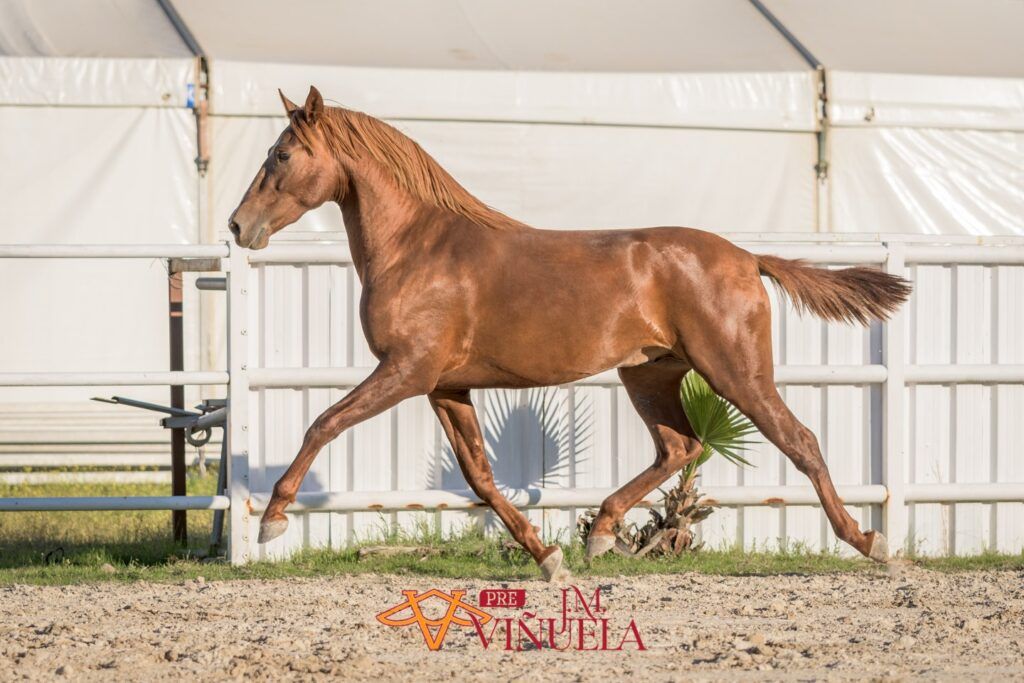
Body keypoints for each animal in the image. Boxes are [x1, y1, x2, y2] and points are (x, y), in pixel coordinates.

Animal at [232, 87, 913, 581]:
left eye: (282, 155)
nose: (239, 226)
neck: (417, 247)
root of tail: (747, 257)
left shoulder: (406, 371)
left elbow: (322, 423)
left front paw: (272, 521)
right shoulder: (445, 387)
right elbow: (481, 477)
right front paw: (548, 558)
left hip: (735, 372)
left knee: (798, 440)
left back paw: (870, 542)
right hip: (648, 374)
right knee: (680, 447)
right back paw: (602, 533)